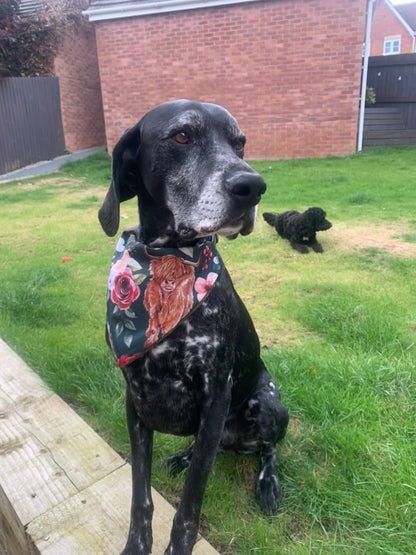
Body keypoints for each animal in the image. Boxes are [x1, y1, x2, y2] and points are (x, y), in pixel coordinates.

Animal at [100, 101, 290, 555]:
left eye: (240, 144)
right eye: (182, 136)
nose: (253, 186)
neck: (168, 261)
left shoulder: (216, 397)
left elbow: (188, 509)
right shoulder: (135, 401)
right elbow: (141, 496)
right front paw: (137, 545)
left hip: (268, 406)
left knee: (268, 450)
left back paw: (268, 484)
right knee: (211, 448)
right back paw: (183, 457)